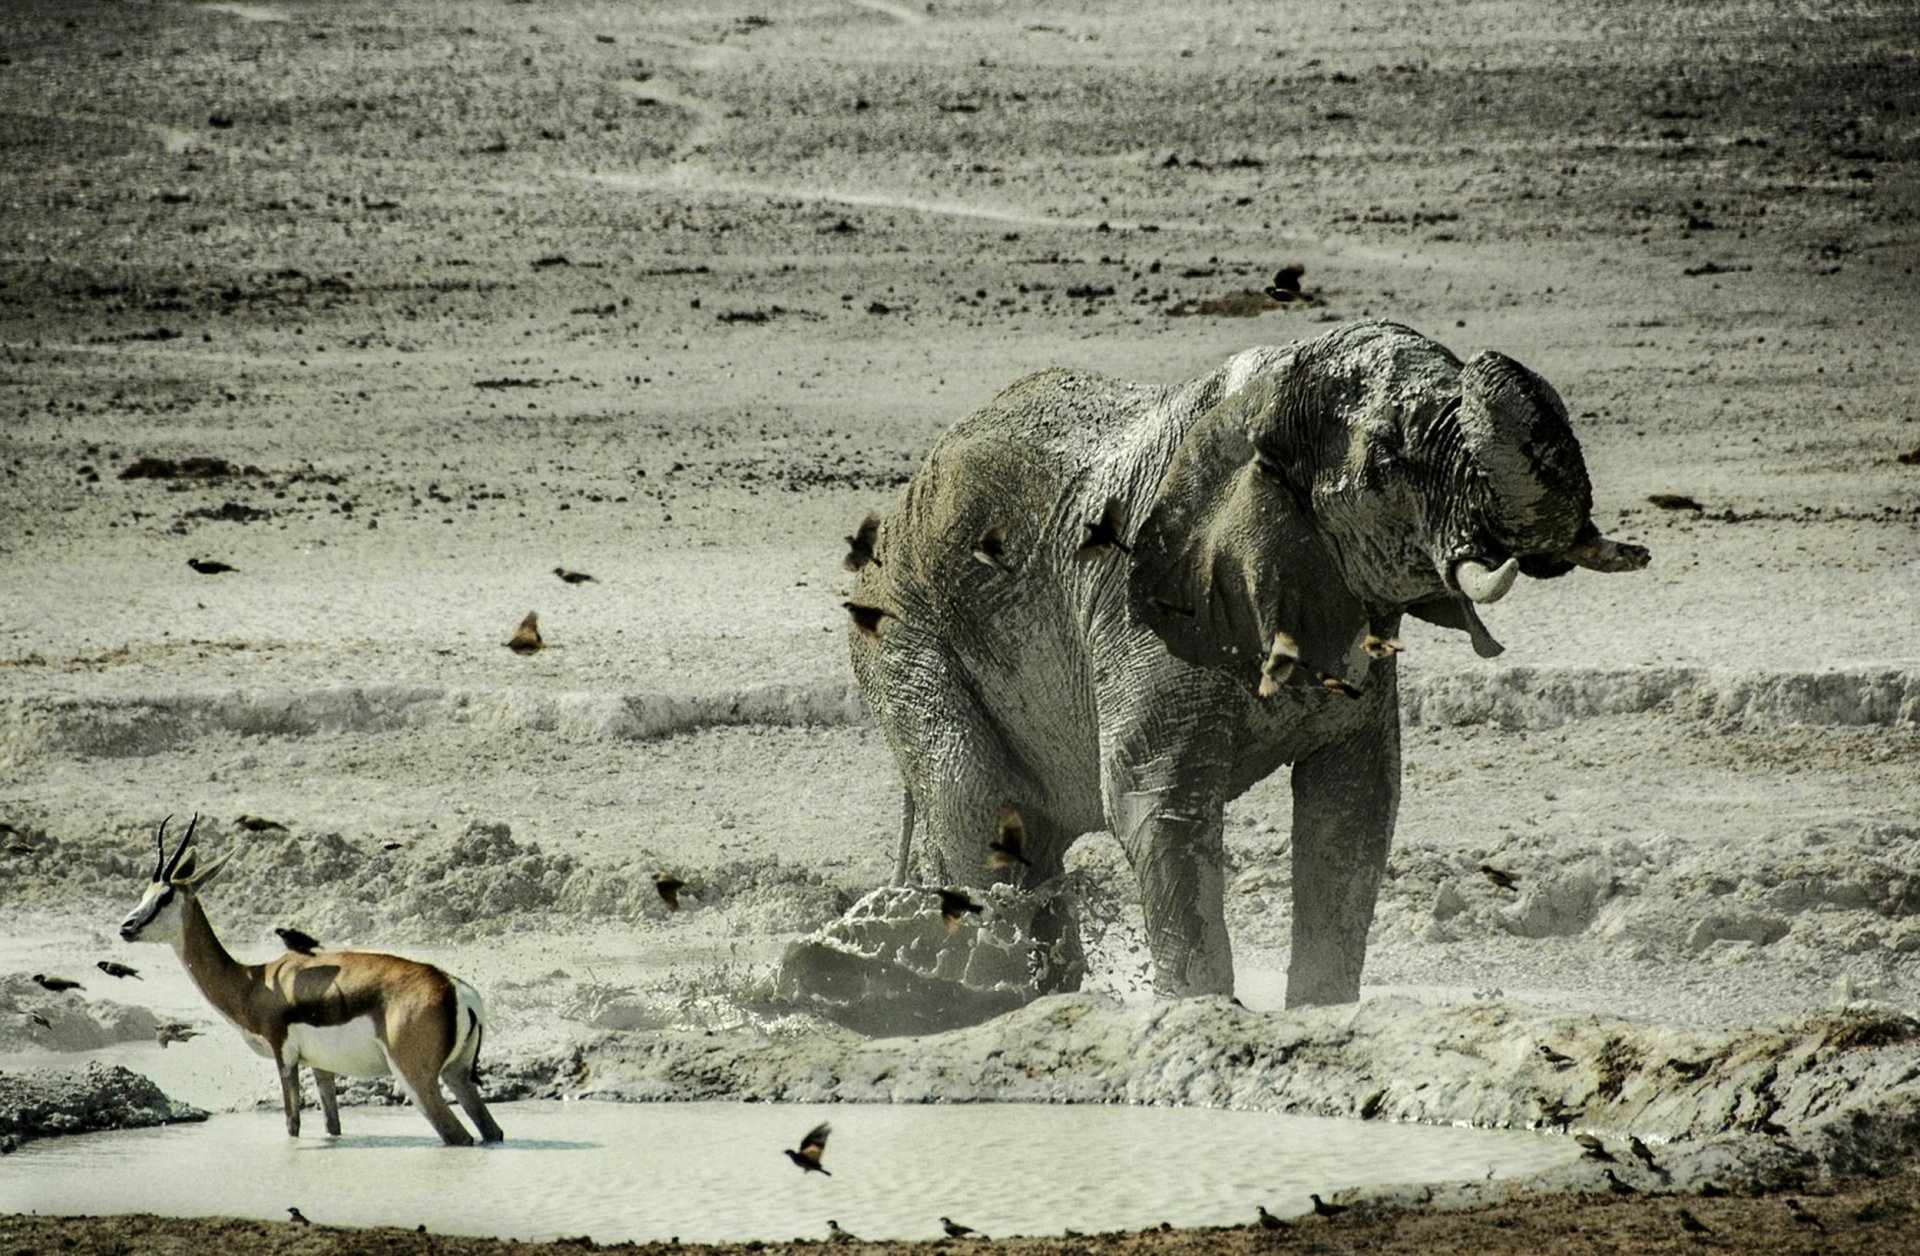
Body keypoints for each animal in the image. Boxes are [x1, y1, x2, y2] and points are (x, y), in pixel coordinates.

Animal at [118, 815, 504, 1146]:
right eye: (145, 892)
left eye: (166, 896)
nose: (126, 927)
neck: (252, 981)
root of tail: (455, 989)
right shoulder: (321, 1067)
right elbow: (332, 1126)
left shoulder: (284, 1058)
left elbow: (292, 1124)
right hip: (457, 1074)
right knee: (491, 1132)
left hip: (416, 1080)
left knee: (459, 1136)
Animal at [843, 319, 1649, 1009]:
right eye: (1388, 465)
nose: (1486, 356)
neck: (1260, 408)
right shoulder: (1145, 615)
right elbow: (1154, 806)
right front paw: (1202, 1009)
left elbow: (1353, 810)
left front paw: (1322, 1014)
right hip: (902, 635)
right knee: (982, 812)